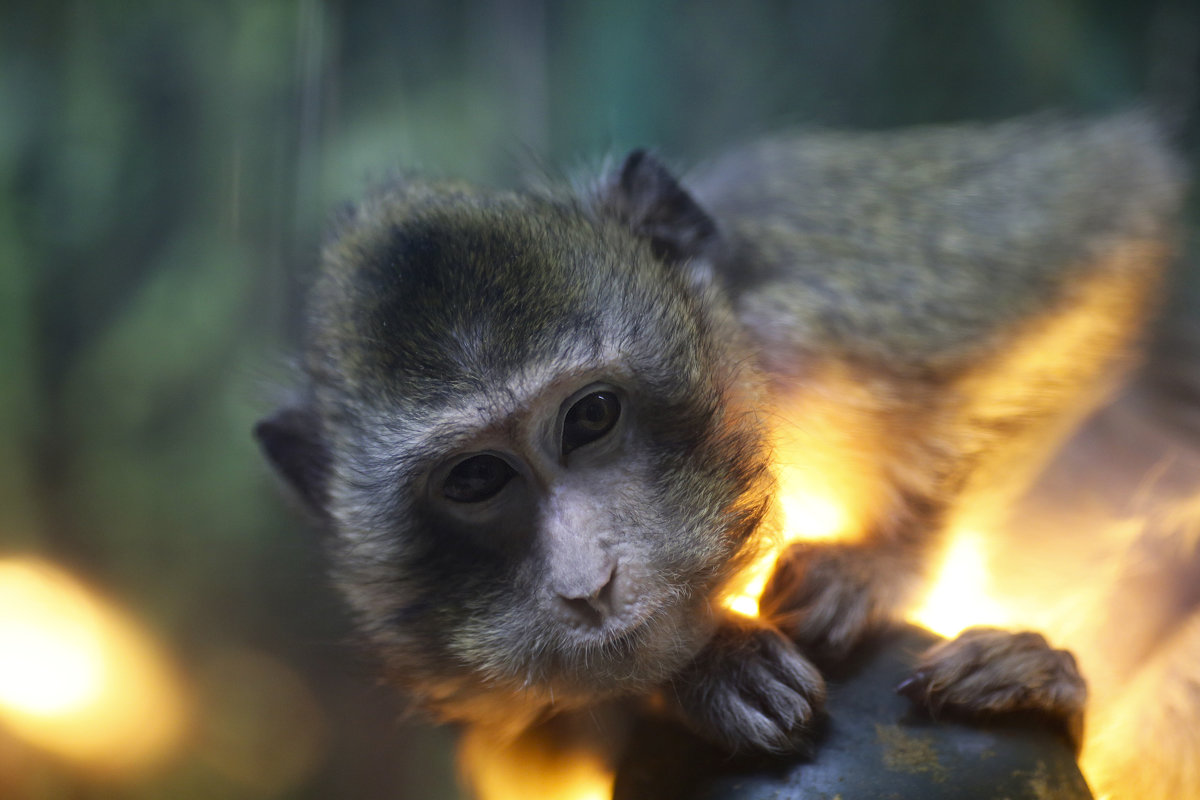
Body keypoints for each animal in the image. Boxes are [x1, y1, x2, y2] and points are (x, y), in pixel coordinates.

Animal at [258, 107, 1185, 786]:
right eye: (479, 478)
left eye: (591, 418)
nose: (589, 585)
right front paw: (709, 670)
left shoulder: (838, 301)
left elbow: (1119, 229)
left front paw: (873, 564)